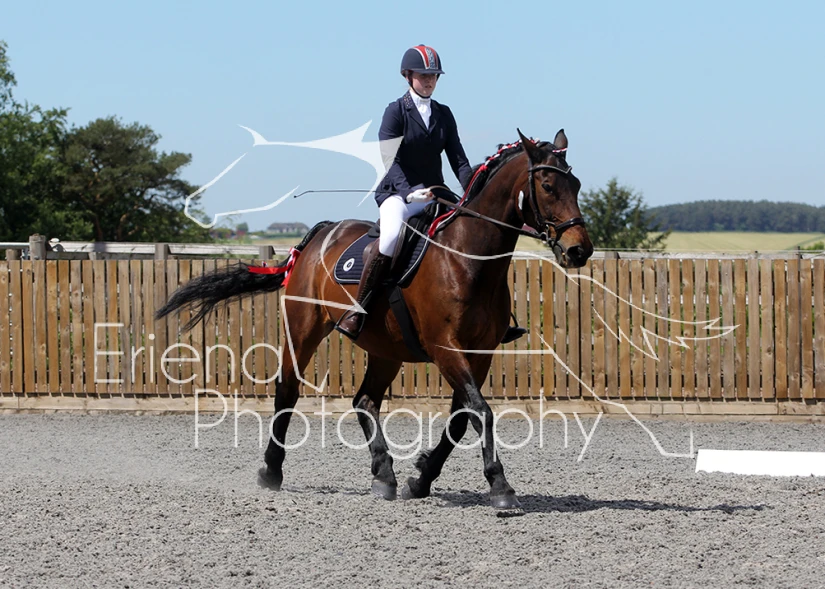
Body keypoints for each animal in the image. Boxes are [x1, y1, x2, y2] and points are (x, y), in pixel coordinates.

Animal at [157, 129, 594, 514]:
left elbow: (462, 417)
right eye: (549, 186)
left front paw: (421, 477)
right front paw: (501, 487)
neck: (468, 259)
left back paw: (384, 476)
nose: (580, 251)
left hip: (387, 348)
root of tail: (319, 235)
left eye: (576, 185)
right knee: (288, 392)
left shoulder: (480, 352)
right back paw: (271, 472)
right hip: (303, 330)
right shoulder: (445, 347)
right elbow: (480, 412)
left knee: (365, 400)